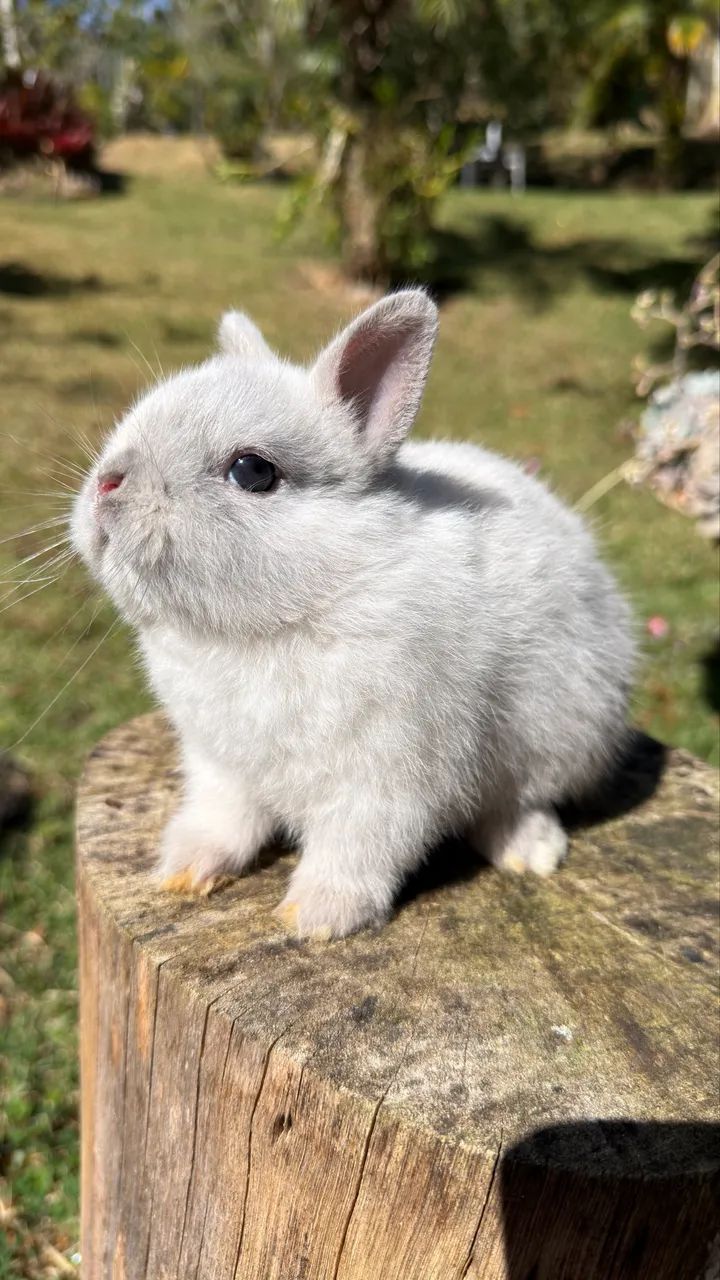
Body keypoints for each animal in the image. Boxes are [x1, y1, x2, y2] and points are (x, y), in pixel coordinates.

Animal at [71, 288, 635, 939]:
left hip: (558, 740)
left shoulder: (387, 781)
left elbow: (356, 851)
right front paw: (184, 869)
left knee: (517, 805)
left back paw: (531, 854)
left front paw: (314, 920)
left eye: (252, 471)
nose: (108, 484)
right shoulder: (221, 765)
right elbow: (224, 820)